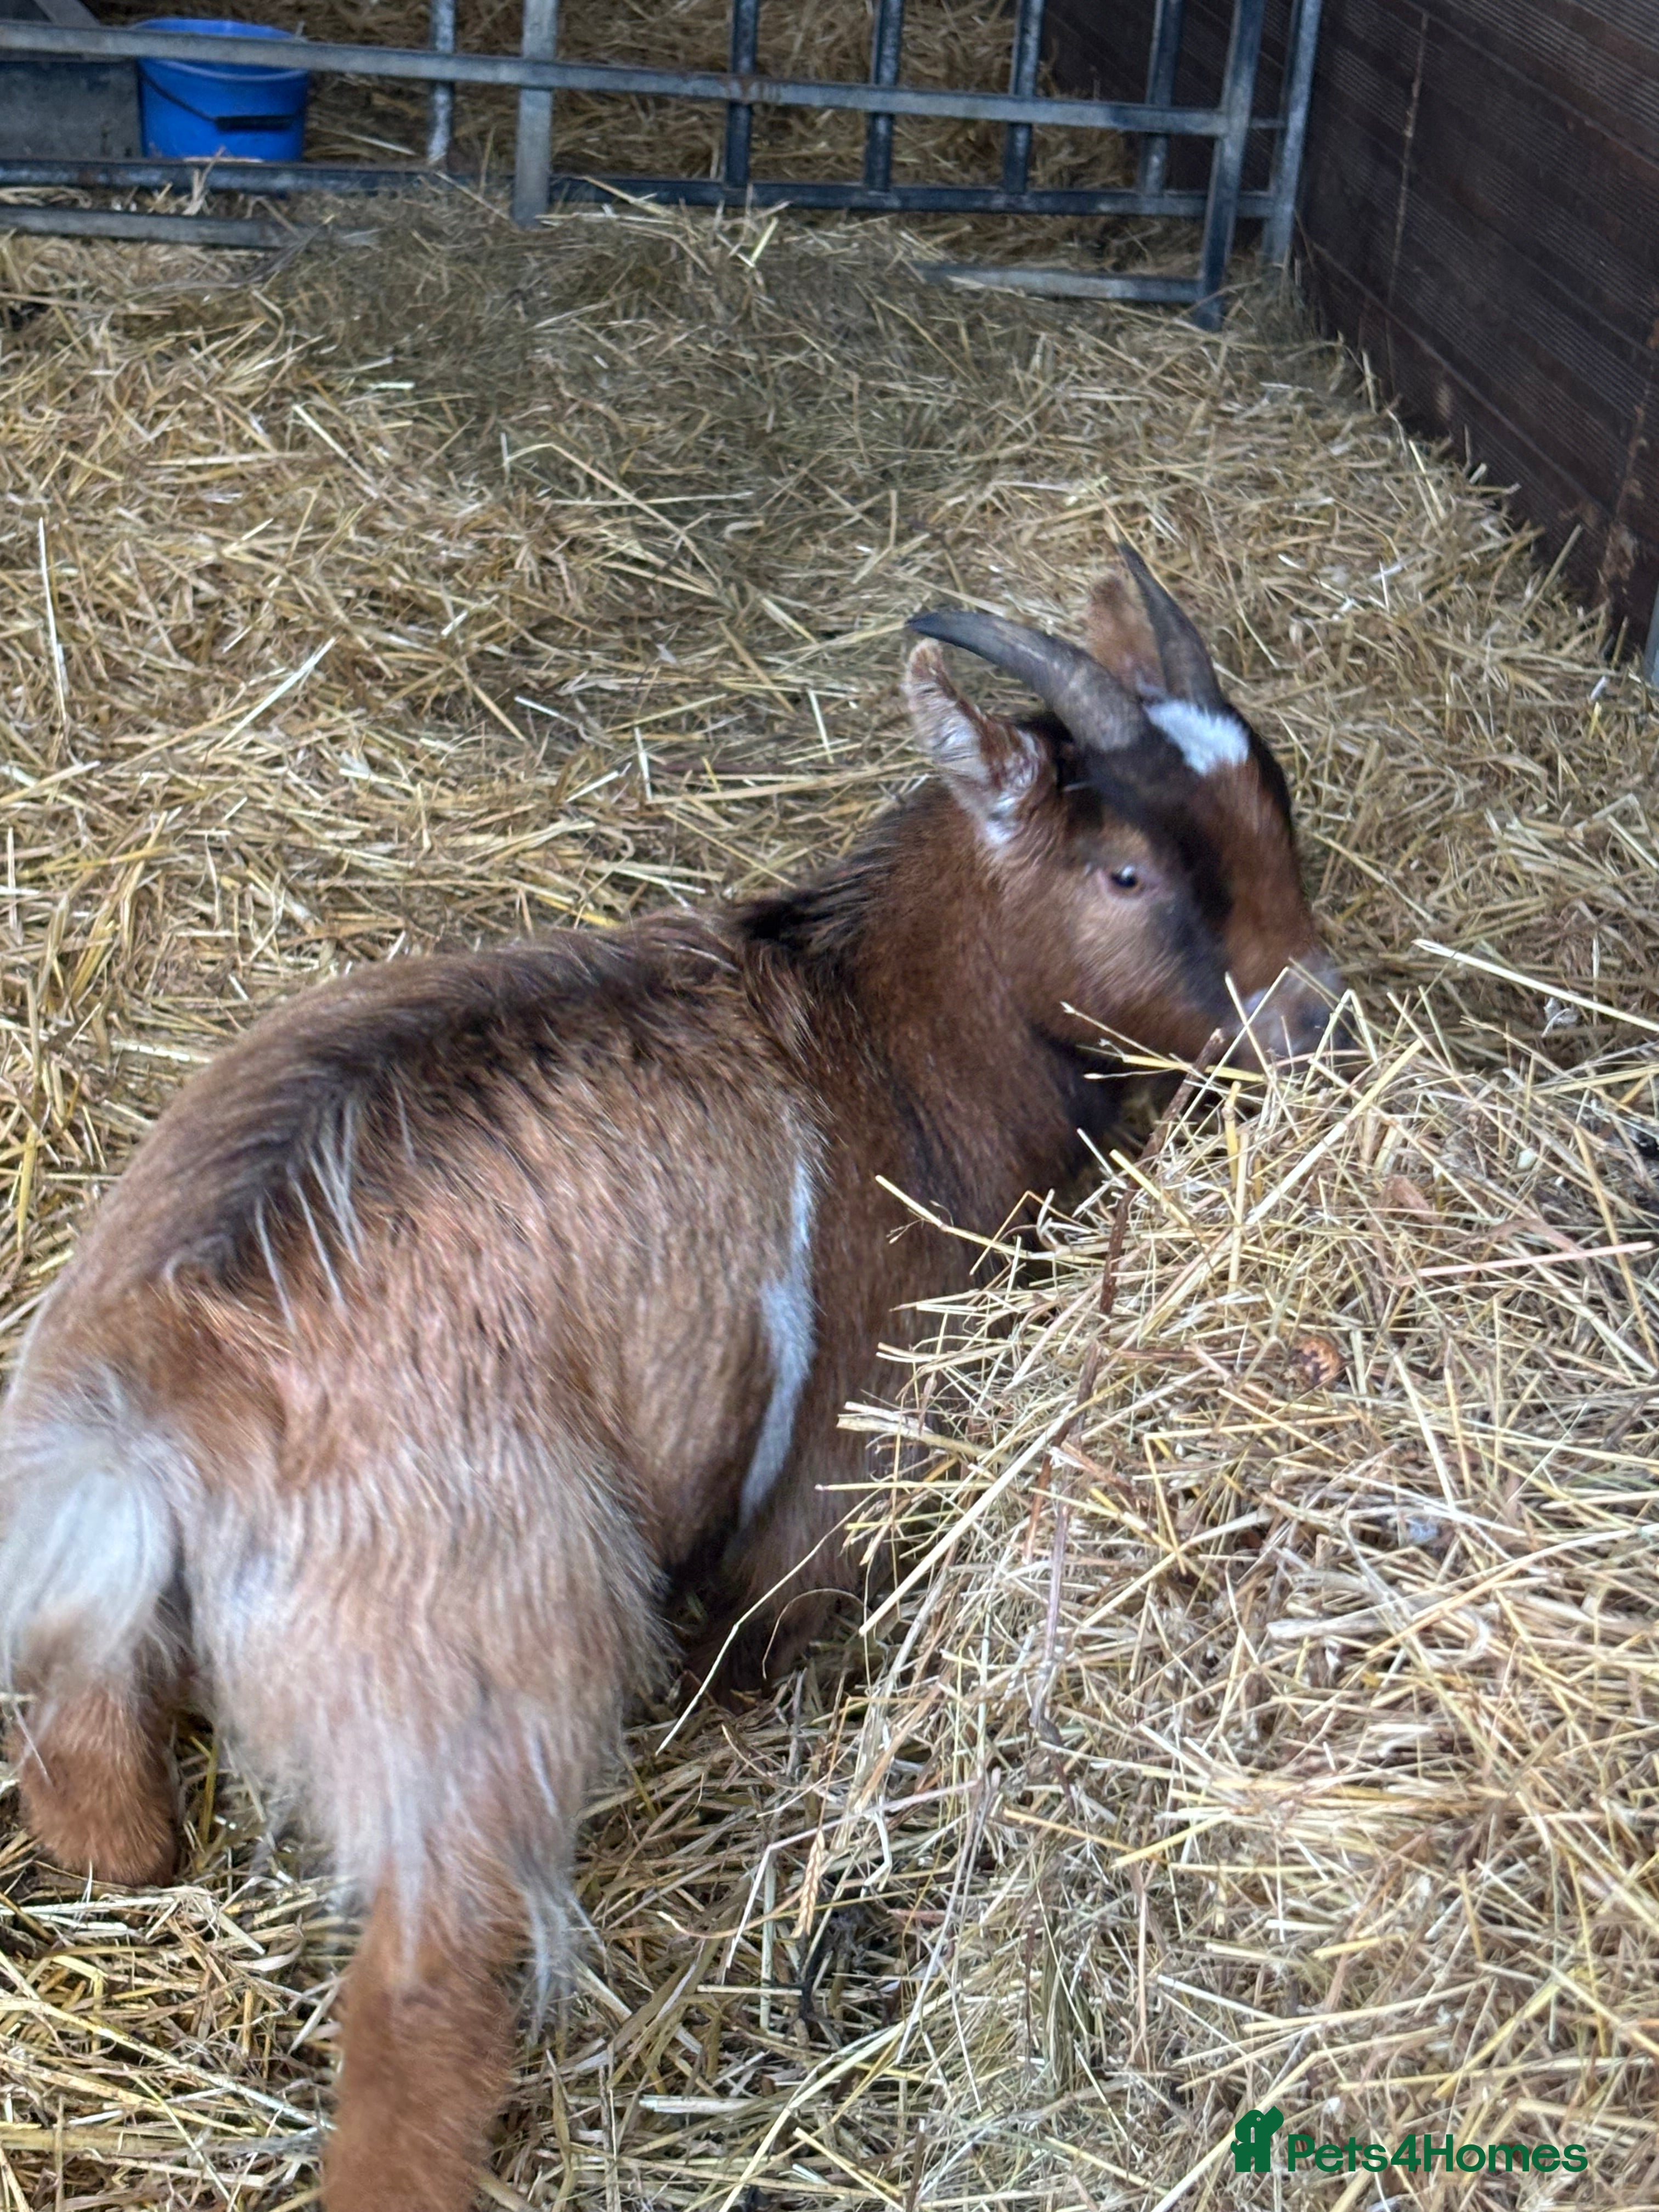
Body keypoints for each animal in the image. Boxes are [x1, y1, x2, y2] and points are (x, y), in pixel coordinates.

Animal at [0, 548, 1339, 2212]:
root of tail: (175, 1386)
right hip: (477, 1658)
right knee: (429, 1989)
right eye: (1128, 877)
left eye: (1277, 805)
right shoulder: (846, 1442)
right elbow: (770, 1621)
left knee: (88, 1764)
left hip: (101, 1575)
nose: (1319, 1015)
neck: (875, 1037)